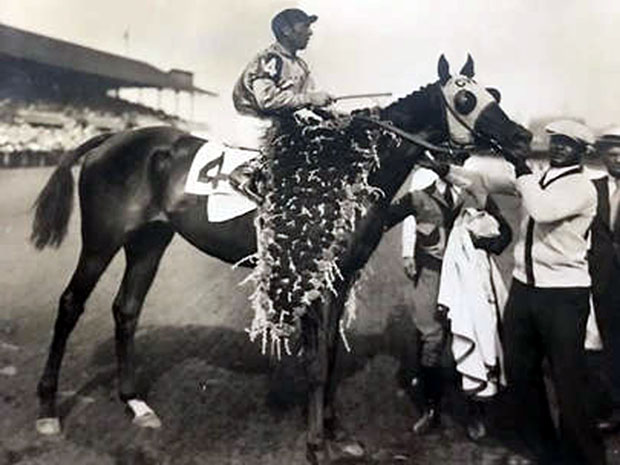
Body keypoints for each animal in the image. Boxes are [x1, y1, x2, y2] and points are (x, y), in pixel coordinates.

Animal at [30, 54, 531, 464]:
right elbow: (317, 365)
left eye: (495, 94)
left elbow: (328, 358)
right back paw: (48, 410)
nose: (523, 137)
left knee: (126, 309)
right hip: (102, 240)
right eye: (465, 97)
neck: (348, 169)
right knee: (71, 304)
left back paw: (135, 404)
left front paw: (337, 434)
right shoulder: (316, 278)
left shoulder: (336, 278)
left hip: (149, 241)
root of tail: (110, 140)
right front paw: (316, 445)